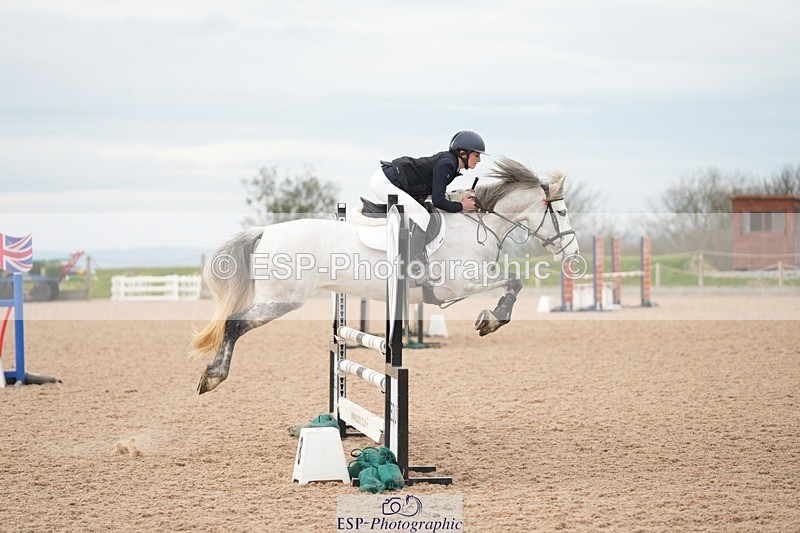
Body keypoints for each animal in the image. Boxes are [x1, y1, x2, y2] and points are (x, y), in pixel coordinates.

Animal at [191, 156, 580, 393]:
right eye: (561, 211)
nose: (574, 255)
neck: (476, 224)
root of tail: (265, 231)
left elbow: (513, 281)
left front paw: (489, 319)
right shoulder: (462, 282)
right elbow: (514, 281)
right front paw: (491, 319)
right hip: (281, 301)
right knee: (234, 325)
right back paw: (213, 377)